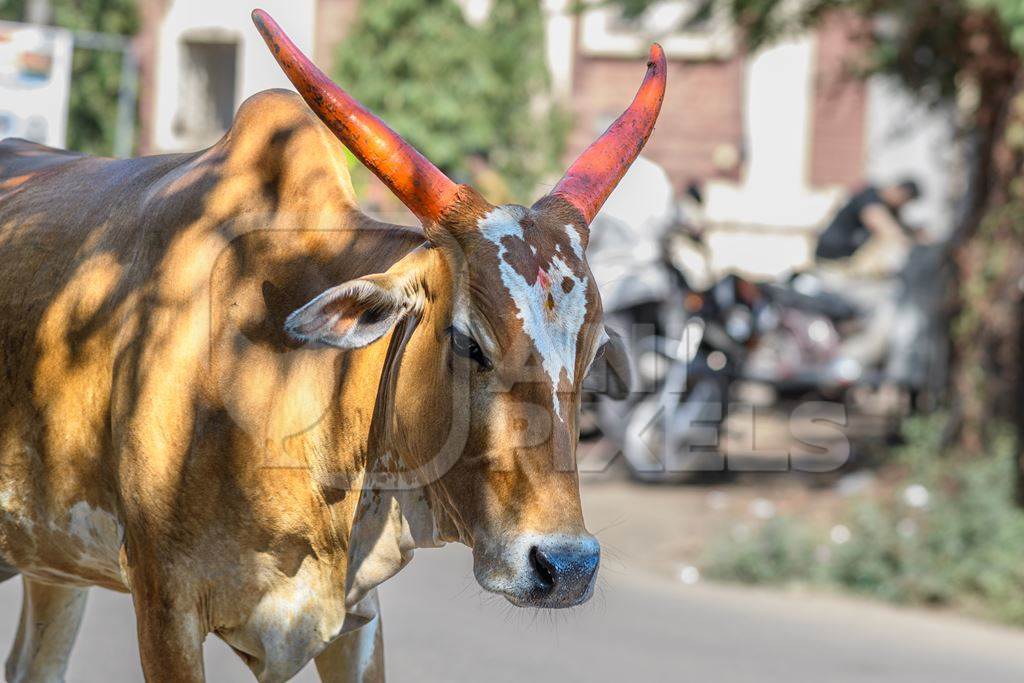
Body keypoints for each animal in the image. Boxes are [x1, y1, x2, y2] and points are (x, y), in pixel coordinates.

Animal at [0, 10, 663, 683]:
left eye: (592, 352)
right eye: (466, 340)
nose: (566, 566)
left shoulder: (357, 620)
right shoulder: (164, 605)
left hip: (54, 564)